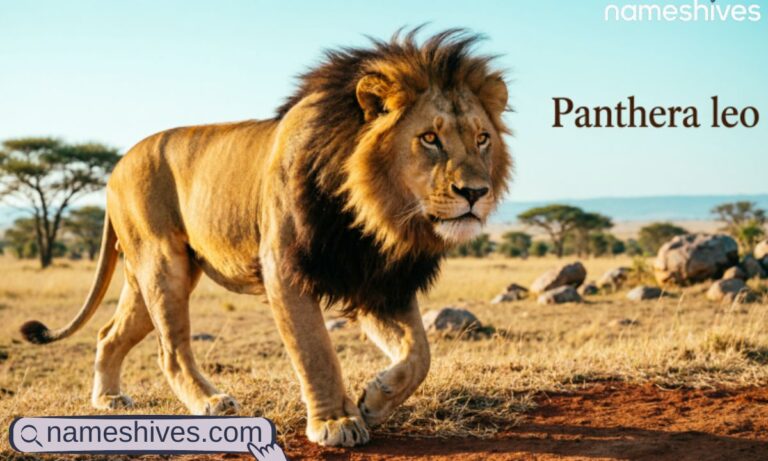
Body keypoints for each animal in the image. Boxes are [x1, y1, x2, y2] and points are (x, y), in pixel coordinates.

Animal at [20, 29, 512, 447]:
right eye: (429, 138)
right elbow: (315, 350)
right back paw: (210, 403)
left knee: (109, 333)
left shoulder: (377, 280)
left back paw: (107, 399)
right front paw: (337, 421)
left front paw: (375, 398)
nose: (475, 193)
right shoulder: (285, 267)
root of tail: (117, 165)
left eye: (482, 138)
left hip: (149, 276)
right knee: (171, 351)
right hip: (163, 265)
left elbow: (419, 354)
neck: (375, 217)